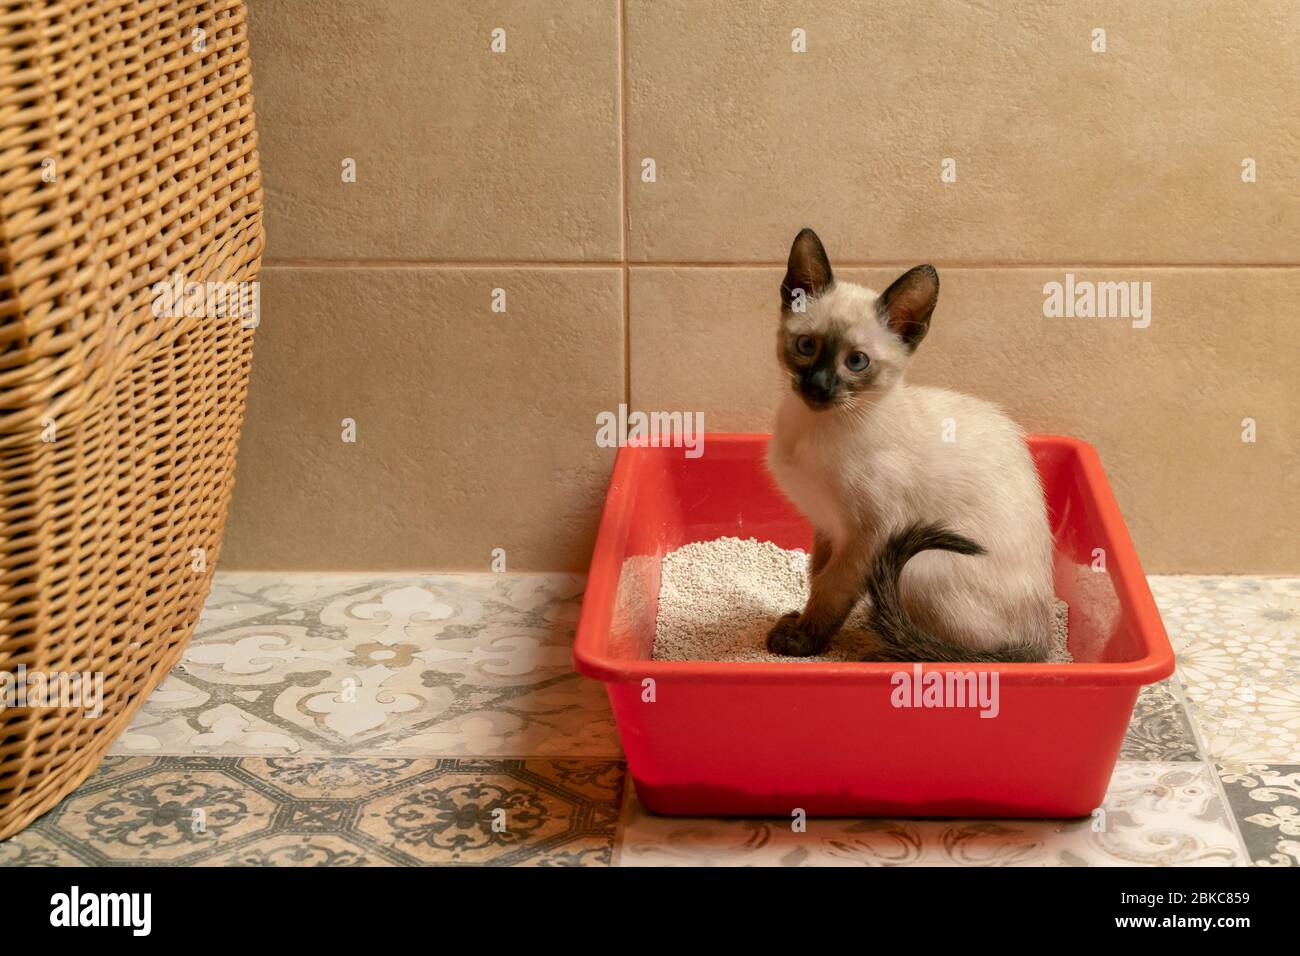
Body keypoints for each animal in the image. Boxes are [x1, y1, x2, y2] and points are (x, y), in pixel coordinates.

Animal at [759, 227, 1055, 660]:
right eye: (807, 346)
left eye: (857, 362)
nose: (819, 387)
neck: (818, 428)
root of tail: (1043, 638)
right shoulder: (826, 526)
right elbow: (817, 576)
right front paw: (799, 623)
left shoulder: (868, 538)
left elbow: (830, 590)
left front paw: (802, 641)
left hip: (917, 566)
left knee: (948, 652)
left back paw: (885, 650)